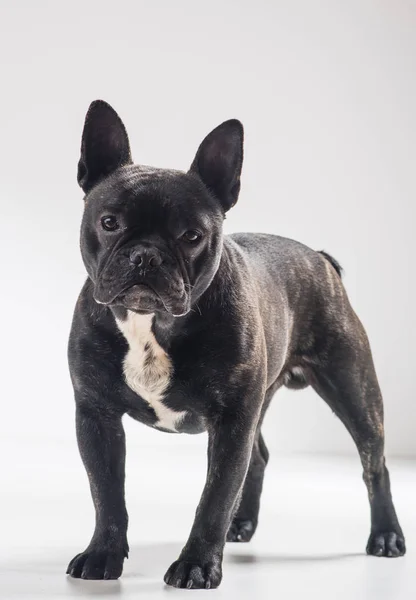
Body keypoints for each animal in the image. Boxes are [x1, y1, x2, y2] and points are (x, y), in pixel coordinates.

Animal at [66, 101, 404, 588]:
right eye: (109, 223)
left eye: (191, 235)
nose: (146, 254)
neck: (152, 324)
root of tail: (320, 258)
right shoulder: (96, 417)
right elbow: (107, 494)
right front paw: (102, 555)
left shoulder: (230, 423)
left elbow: (214, 497)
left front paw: (196, 565)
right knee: (258, 457)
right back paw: (241, 524)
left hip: (353, 389)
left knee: (373, 464)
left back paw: (386, 536)